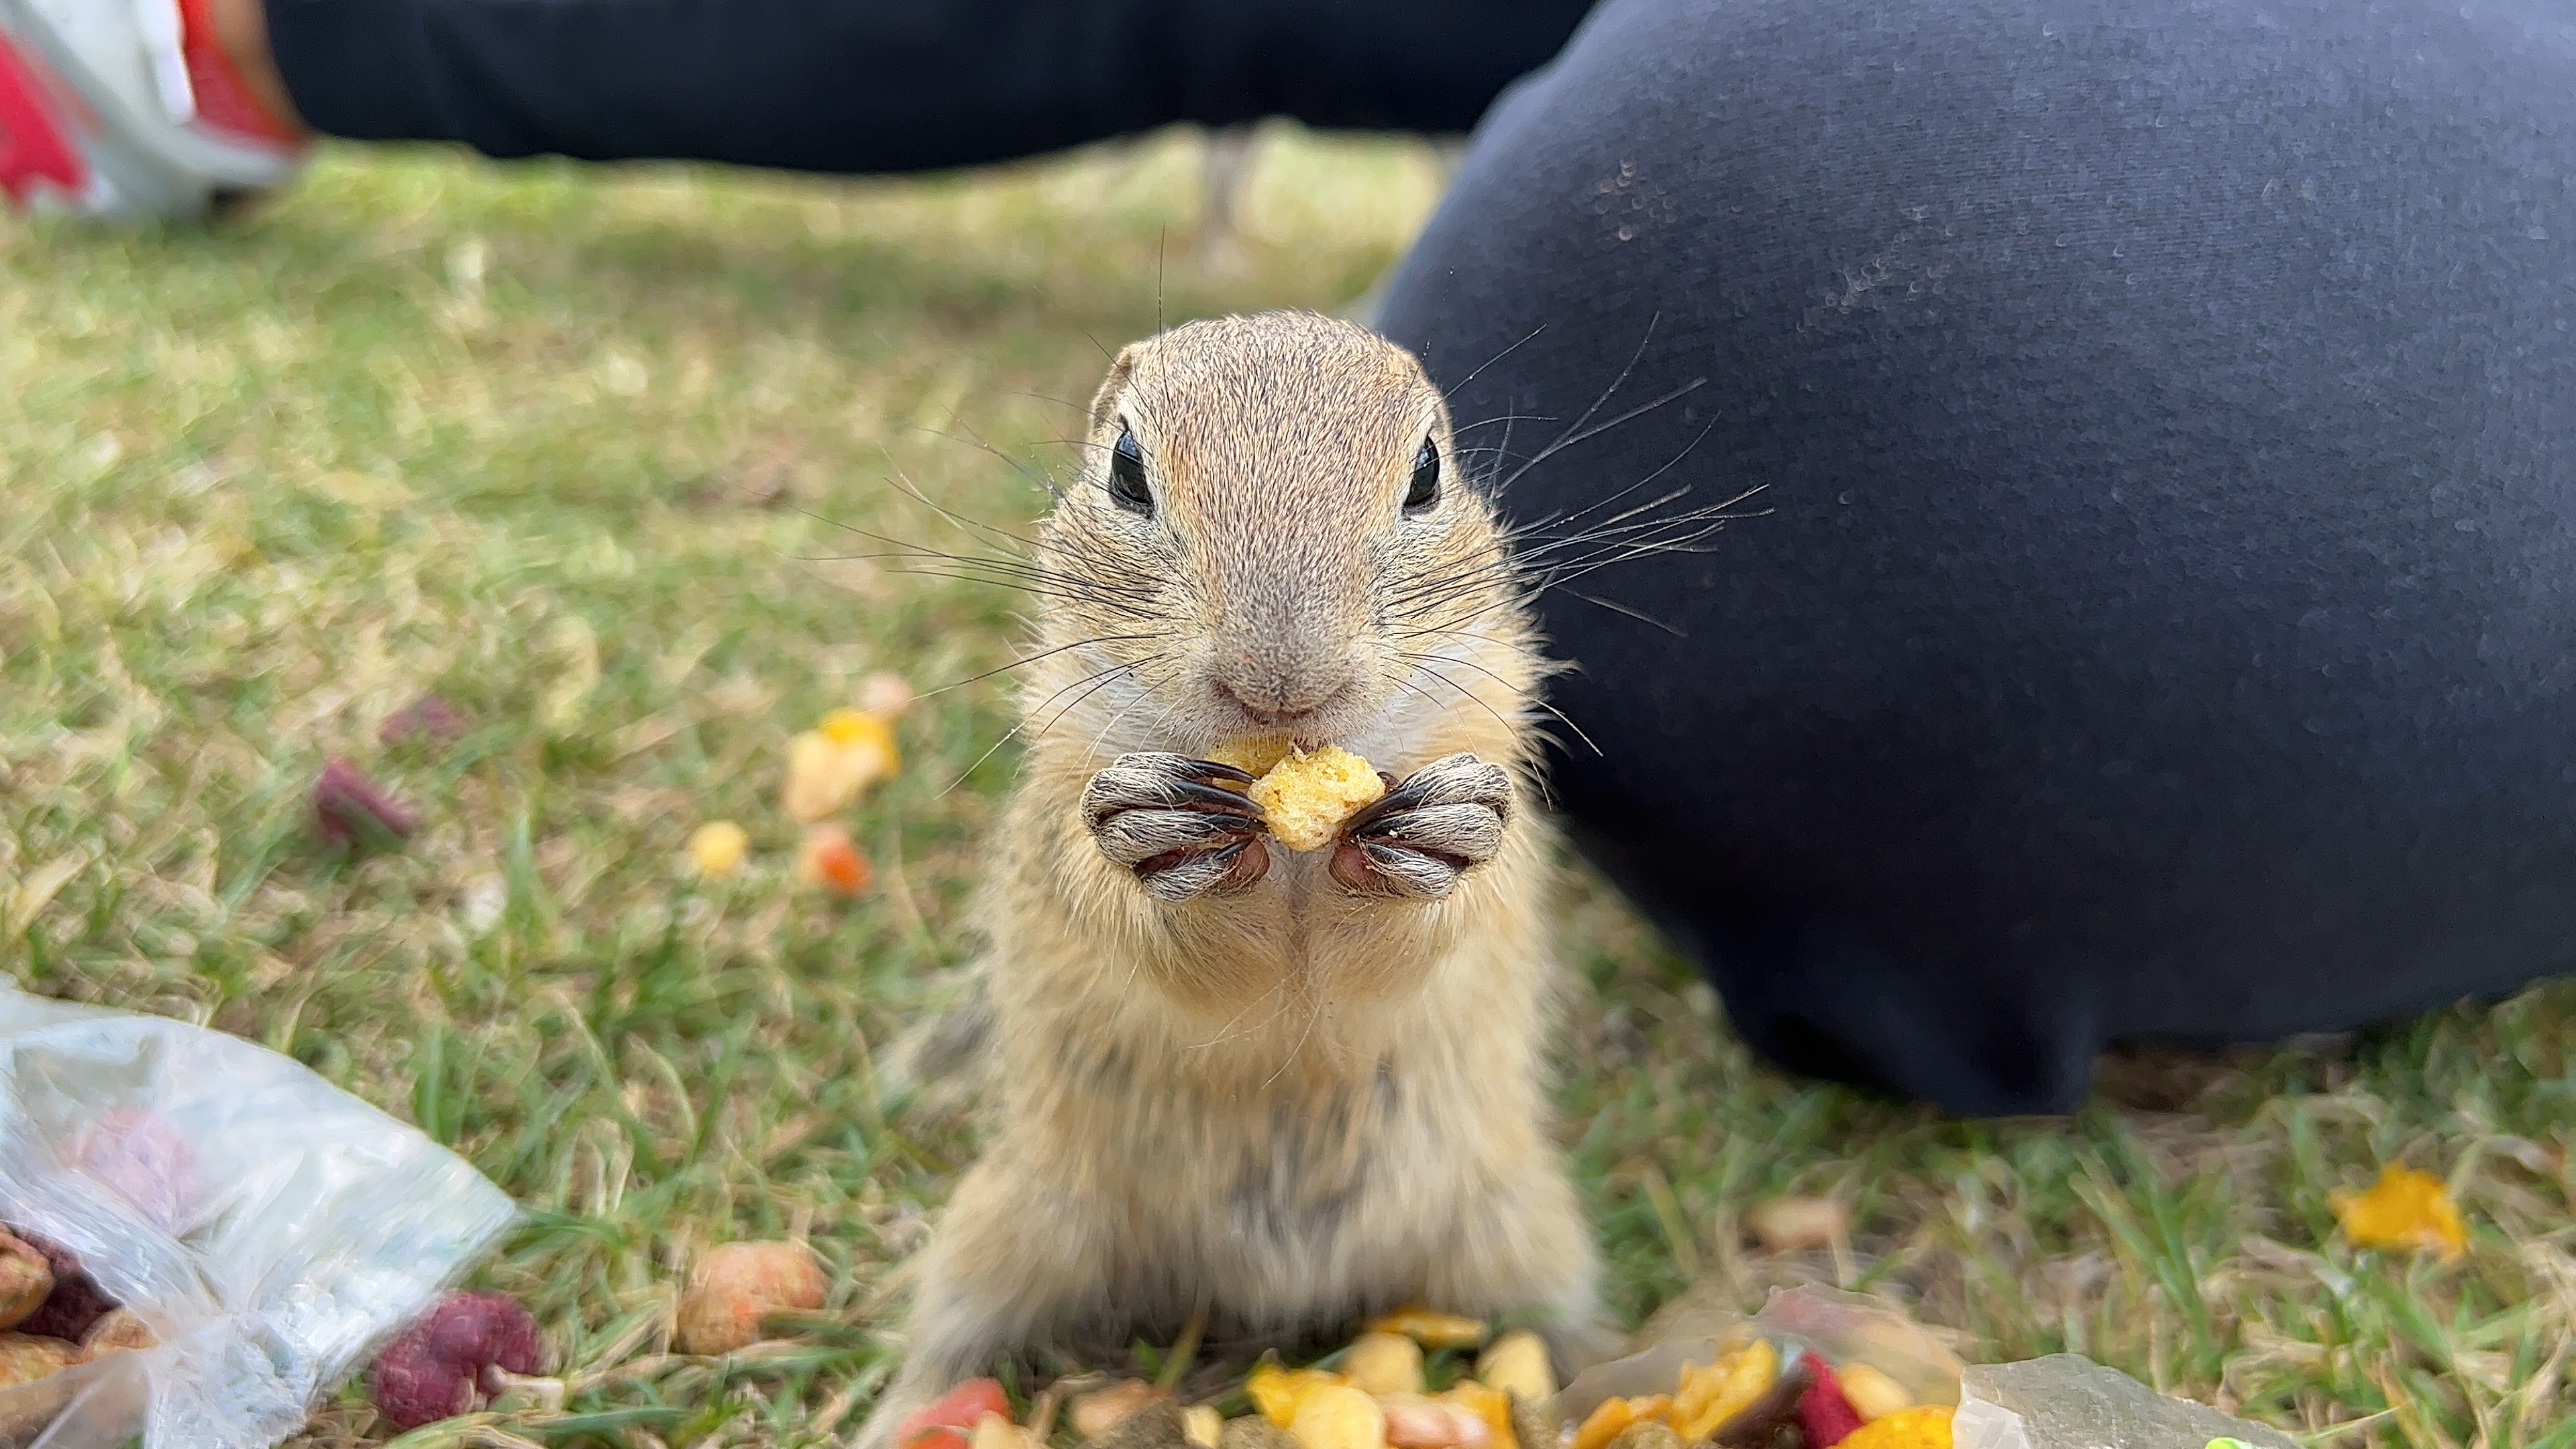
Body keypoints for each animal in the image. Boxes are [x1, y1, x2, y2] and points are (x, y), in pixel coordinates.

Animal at [858, 310, 1601, 1448]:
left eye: (1428, 473)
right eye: (1126, 469)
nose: (1282, 680)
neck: (1292, 860)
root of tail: (1265, 1300)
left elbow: (1436, 923)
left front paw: (1446, 835)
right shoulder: (1061, 818)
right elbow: (1148, 919)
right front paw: (1156, 838)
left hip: (1528, 1230)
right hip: (1007, 1225)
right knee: (946, 1339)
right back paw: (895, 1415)